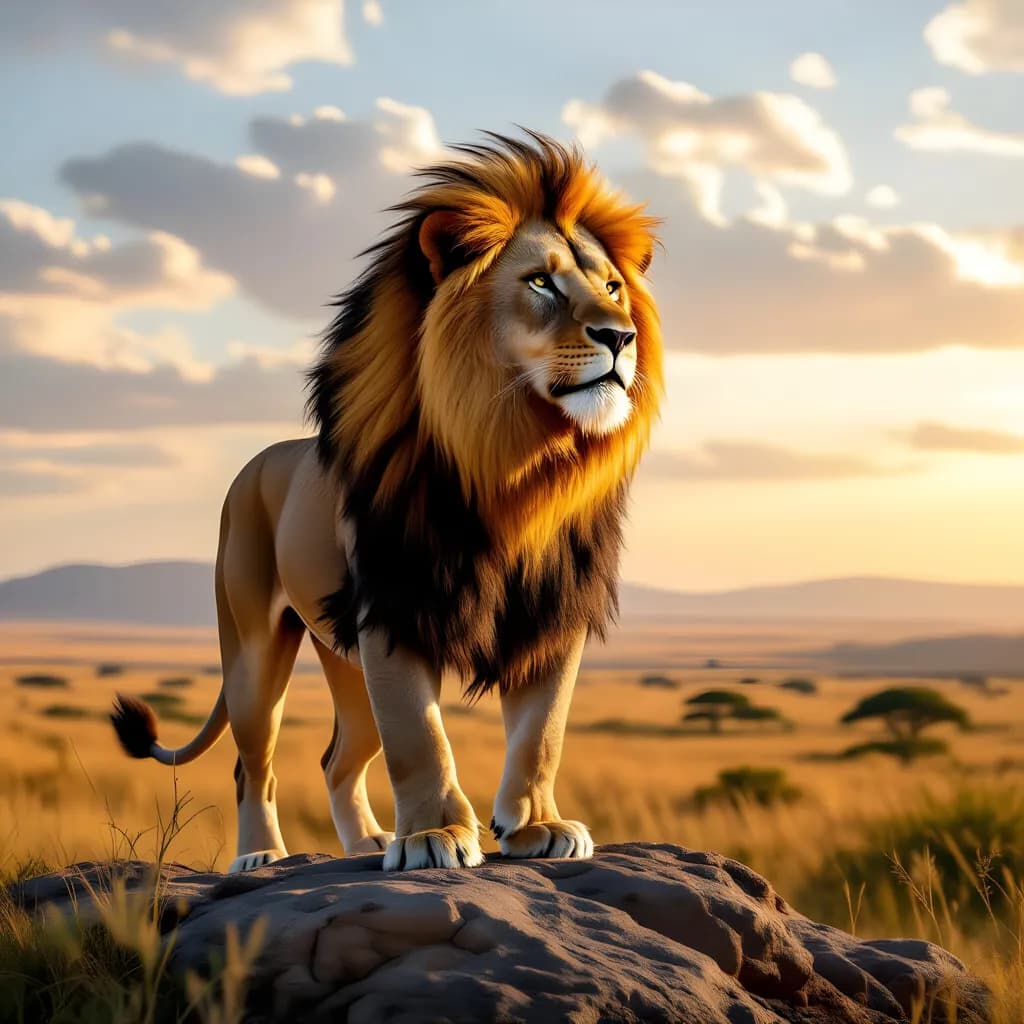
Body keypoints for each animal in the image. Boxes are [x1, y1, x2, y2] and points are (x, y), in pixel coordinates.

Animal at [111, 132, 663, 873]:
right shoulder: (394, 609)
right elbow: (418, 738)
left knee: (337, 759)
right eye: (541, 282)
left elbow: (541, 733)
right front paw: (433, 836)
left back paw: (365, 841)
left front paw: (536, 827)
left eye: (611, 287)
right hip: (254, 650)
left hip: (344, 659)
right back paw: (263, 855)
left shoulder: (551, 612)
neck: (515, 465)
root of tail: (257, 462)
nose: (620, 336)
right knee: (254, 765)